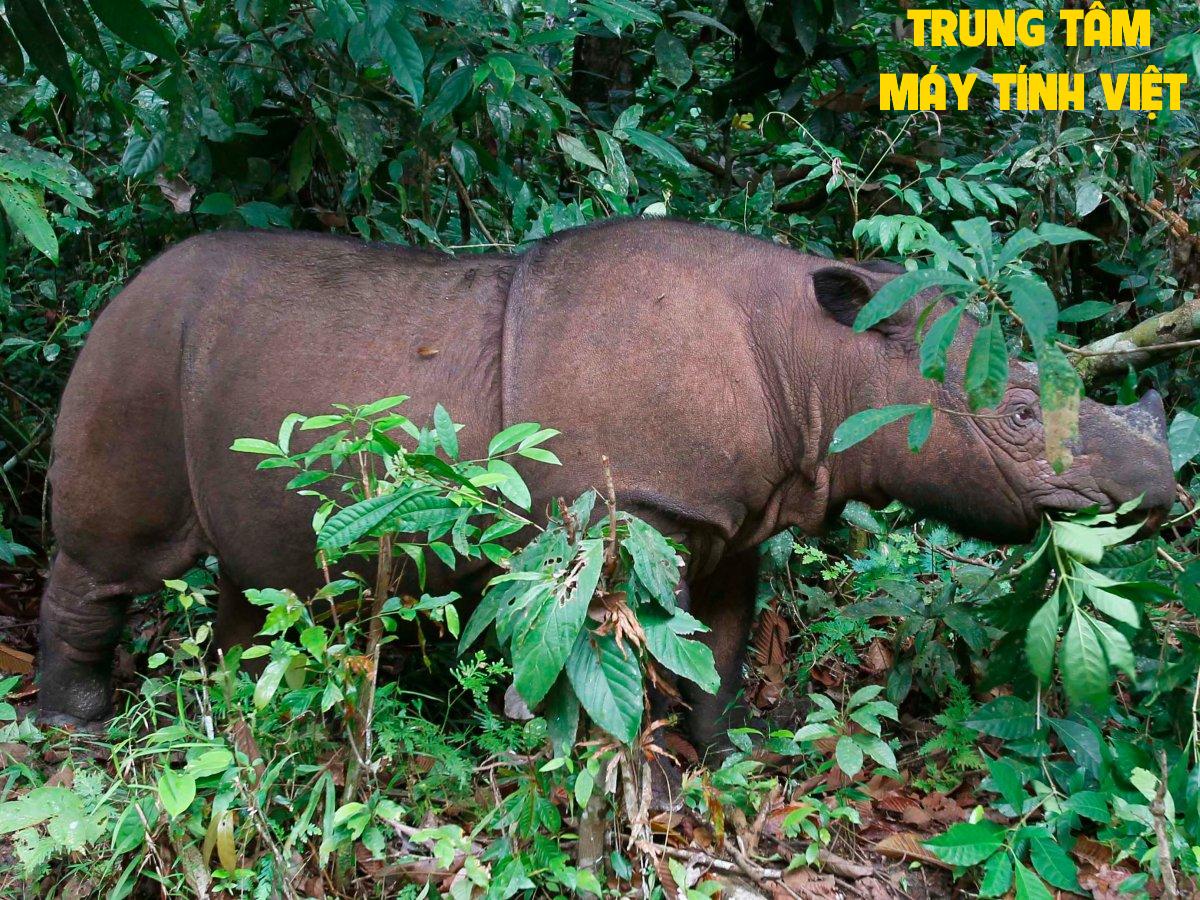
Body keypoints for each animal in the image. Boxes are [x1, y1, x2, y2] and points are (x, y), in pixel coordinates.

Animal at [38, 219, 1176, 746]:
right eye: (1020, 418)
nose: (1162, 490)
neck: (824, 362)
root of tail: (125, 287)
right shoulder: (628, 509)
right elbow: (598, 655)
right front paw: (621, 773)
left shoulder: (734, 512)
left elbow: (719, 646)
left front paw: (725, 759)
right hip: (135, 350)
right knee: (107, 560)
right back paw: (77, 729)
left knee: (263, 580)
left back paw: (244, 719)